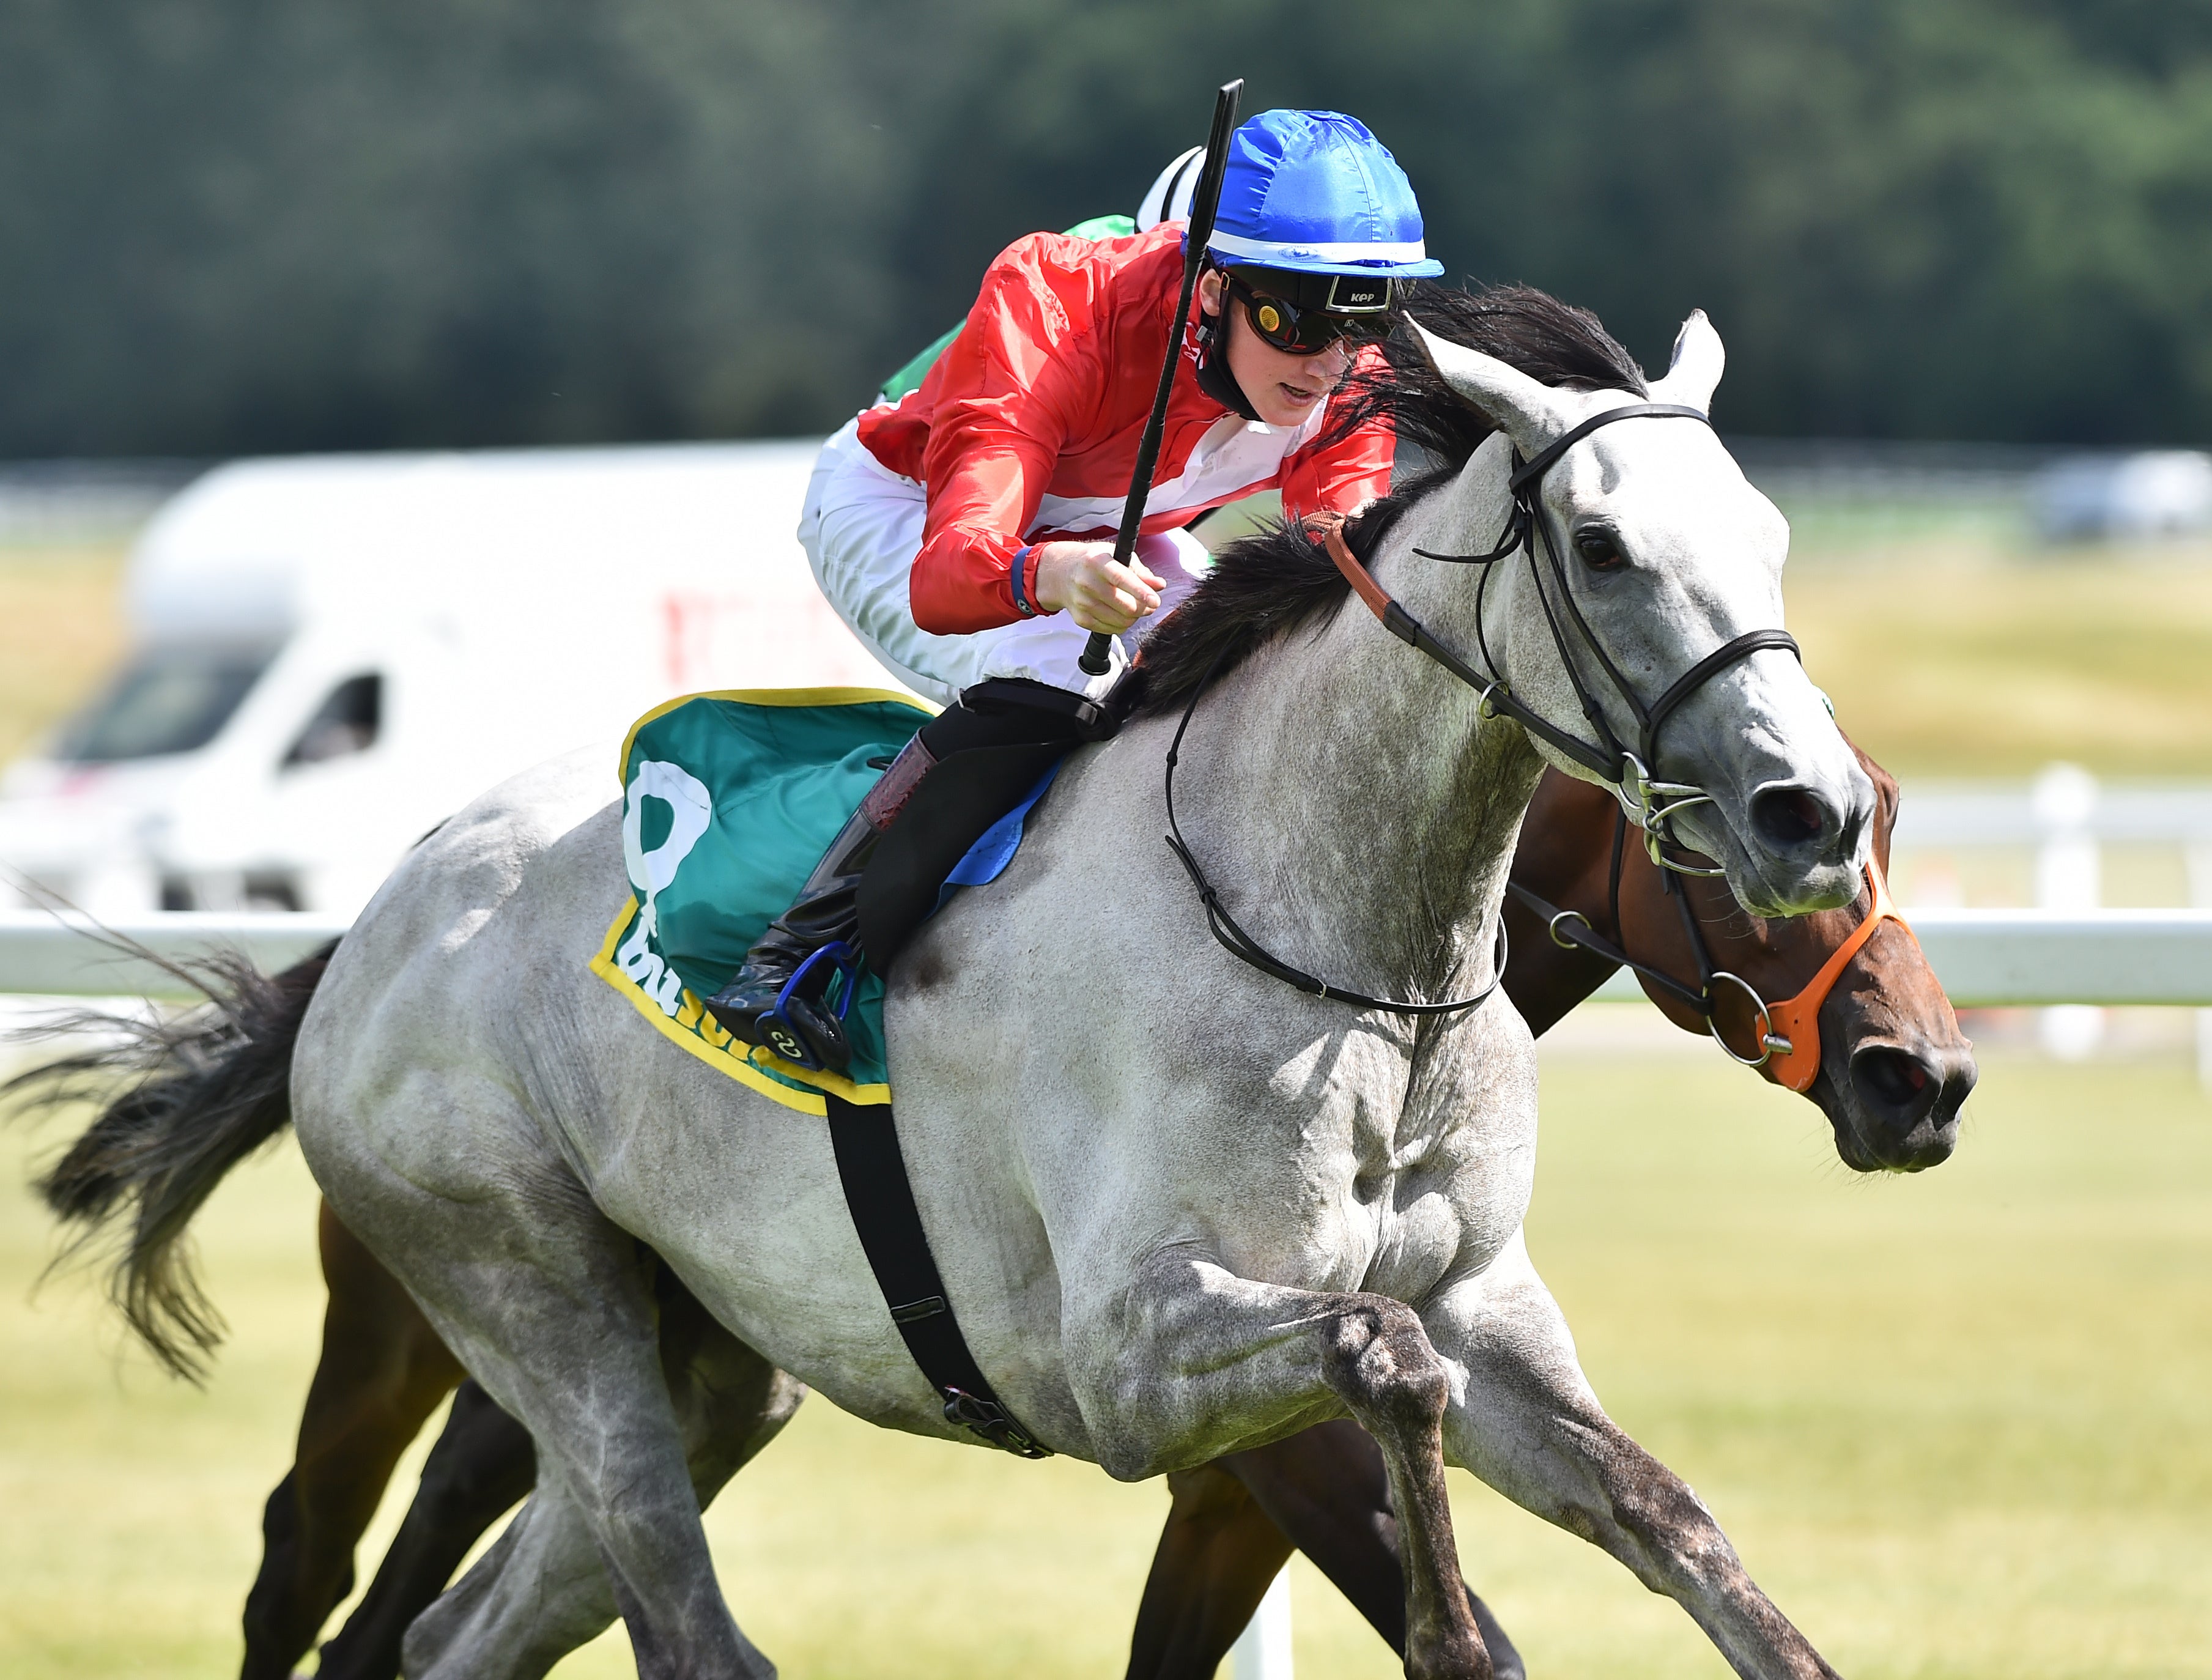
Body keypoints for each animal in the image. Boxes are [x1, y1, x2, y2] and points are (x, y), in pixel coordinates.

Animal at [237, 748, 1973, 1680]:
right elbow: (1472, 1625)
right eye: (1755, 838)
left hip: (694, 1364)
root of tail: (382, 905)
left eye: (1887, 804)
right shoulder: (1245, 1423)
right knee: (319, 1572)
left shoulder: (1239, 1489)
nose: (1924, 1074)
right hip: (443, 1310)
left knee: (472, 1605)